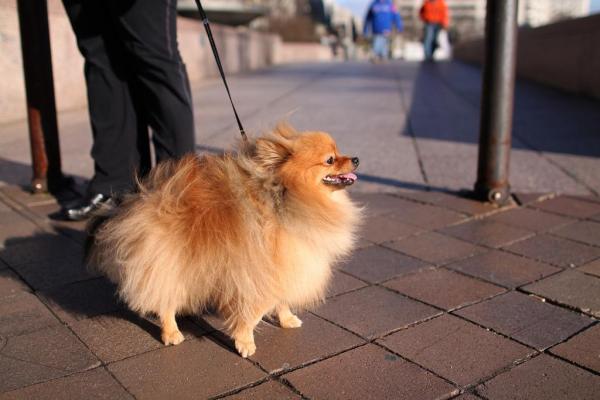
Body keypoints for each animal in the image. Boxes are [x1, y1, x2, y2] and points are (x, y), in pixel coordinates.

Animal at [85, 123, 360, 358]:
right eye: (330, 160)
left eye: (339, 151)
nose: (356, 159)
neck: (285, 197)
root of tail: (149, 198)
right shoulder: (262, 270)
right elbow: (255, 311)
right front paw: (244, 342)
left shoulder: (285, 266)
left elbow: (279, 299)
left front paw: (286, 318)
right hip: (167, 260)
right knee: (164, 299)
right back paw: (171, 332)